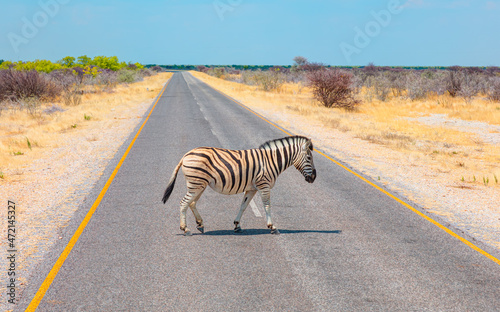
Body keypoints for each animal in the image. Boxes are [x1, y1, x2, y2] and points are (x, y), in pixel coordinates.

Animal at [160, 135, 316, 235]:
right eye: (309, 157)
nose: (314, 178)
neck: (271, 161)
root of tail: (186, 155)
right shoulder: (263, 185)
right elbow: (267, 206)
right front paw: (272, 227)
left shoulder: (251, 189)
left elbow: (244, 206)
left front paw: (237, 225)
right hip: (196, 184)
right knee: (183, 203)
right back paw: (185, 229)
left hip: (199, 185)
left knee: (191, 203)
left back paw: (200, 224)